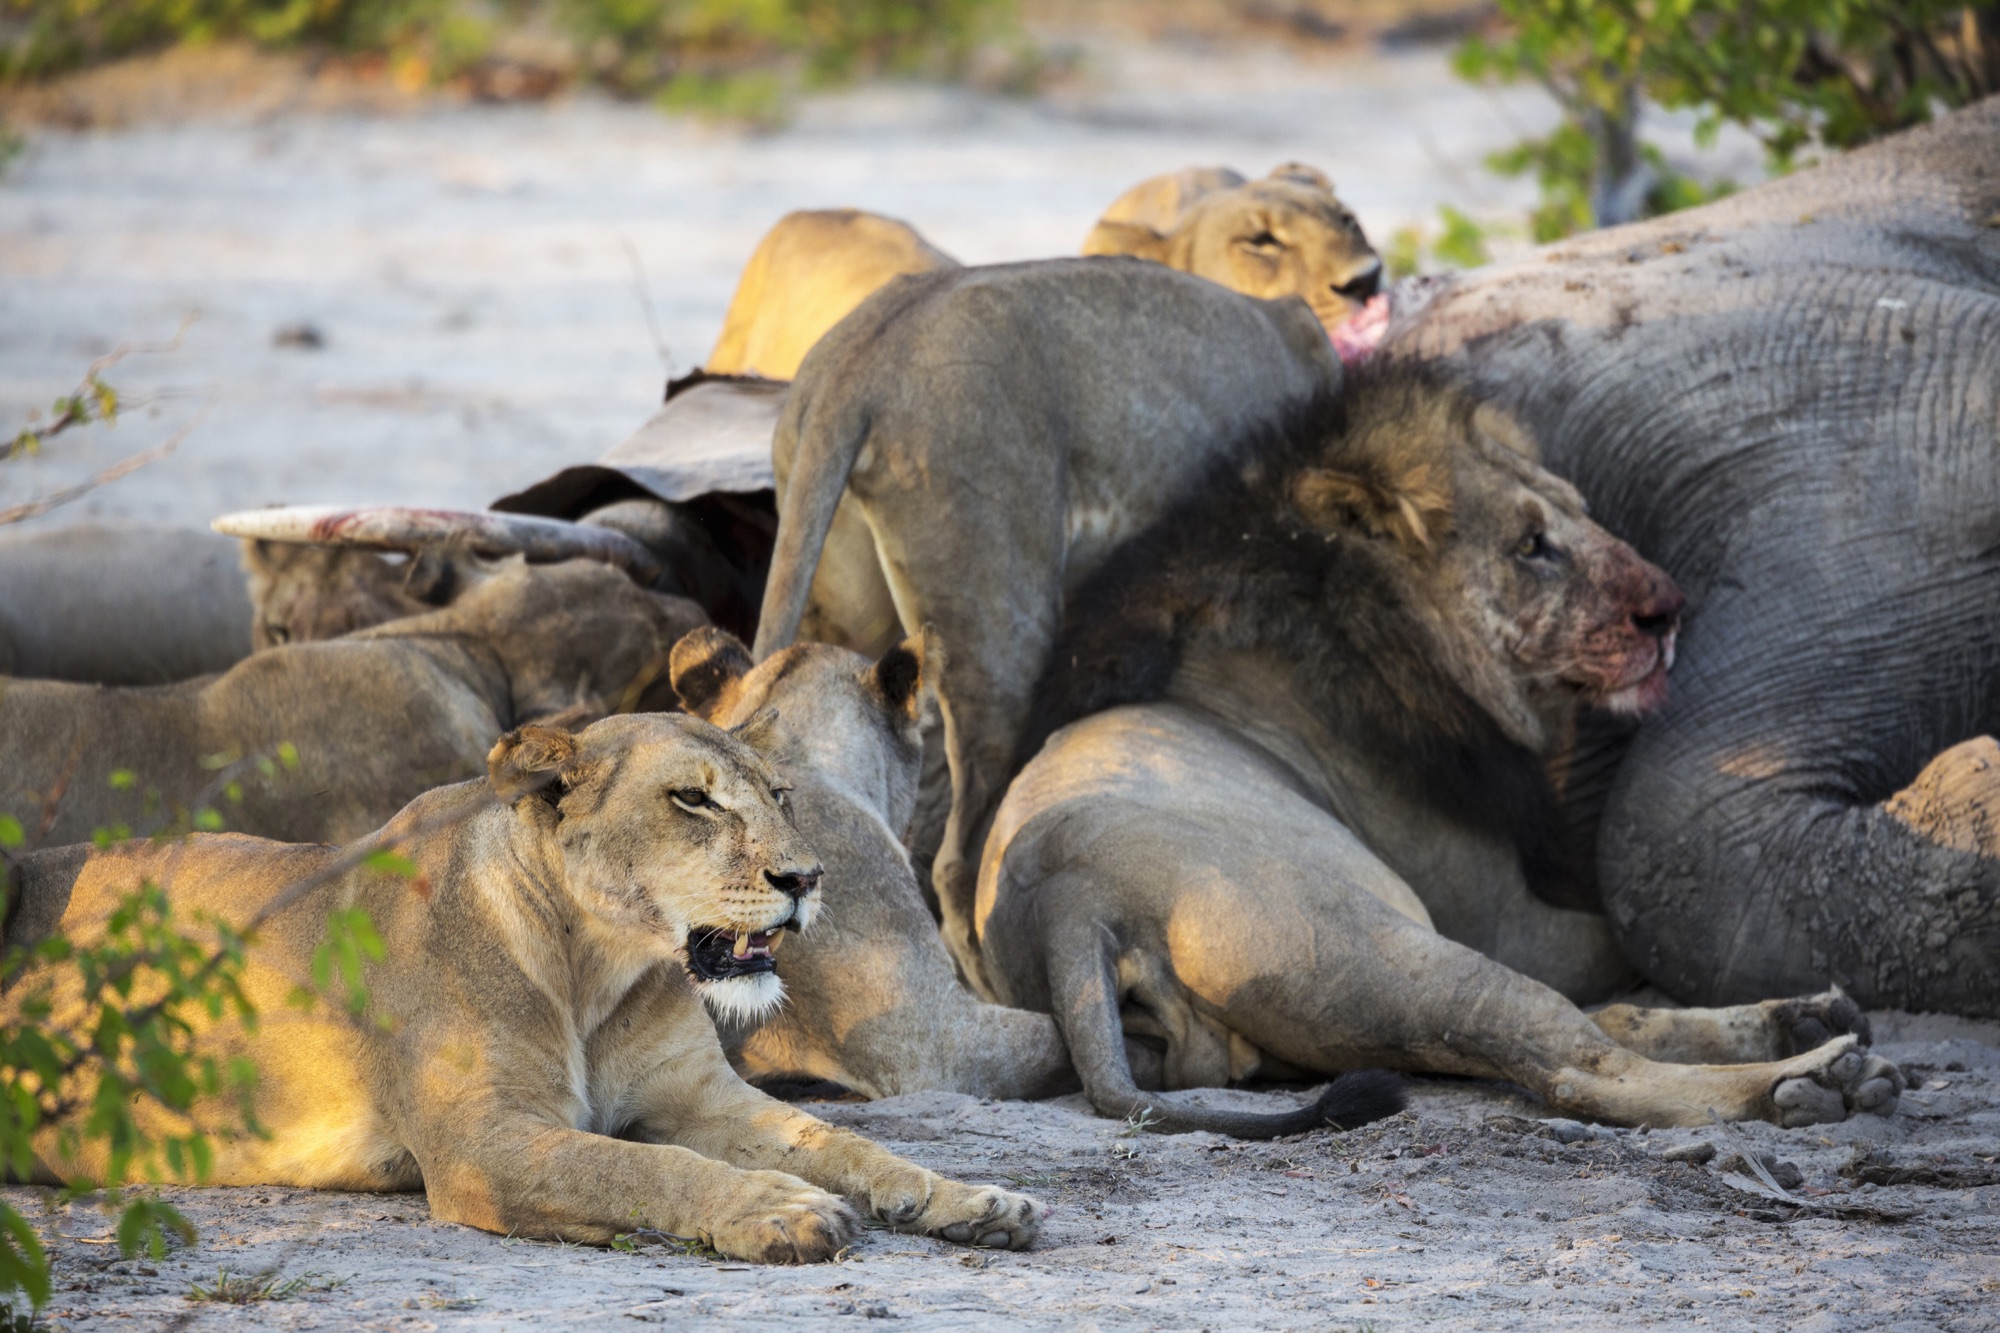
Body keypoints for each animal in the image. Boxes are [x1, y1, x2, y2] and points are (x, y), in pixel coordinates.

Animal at [4, 713, 1042, 1260]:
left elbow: (843, 1141)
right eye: (692, 799)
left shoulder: (705, 1098)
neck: (598, 969)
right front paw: (778, 1208)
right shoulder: (482, 1141)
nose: (808, 877)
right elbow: (642, 1167)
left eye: (780, 795)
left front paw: (971, 1199)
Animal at [975, 366, 1905, 1133]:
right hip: (1387, 951)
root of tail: (1069, 903)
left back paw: (1805, 1024)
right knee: (1583, 1064)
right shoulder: (1509, 916)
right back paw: (1809, 1077)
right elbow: (1613, 947)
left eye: (1581, 510)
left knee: (1586, 1028)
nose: (1669, 608)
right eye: (1530, 545)